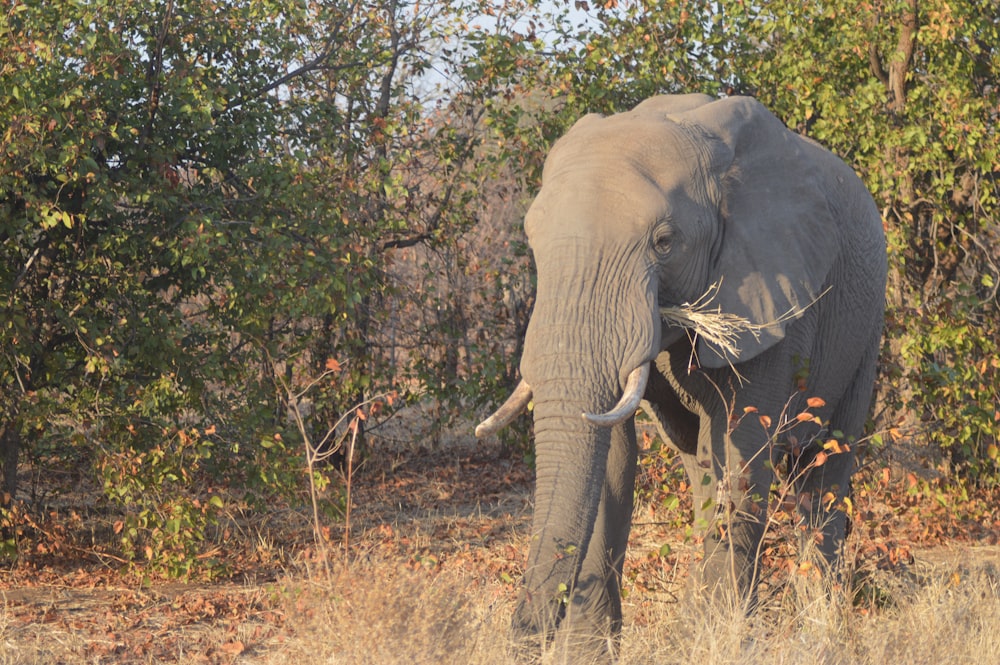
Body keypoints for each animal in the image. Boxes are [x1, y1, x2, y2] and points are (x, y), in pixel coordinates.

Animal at [480, 94, 888, 660]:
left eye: (664, 242)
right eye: (532, 240)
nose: (523, 639)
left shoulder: (772, 295)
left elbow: (742, 451)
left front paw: (725, 642)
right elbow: (613, 458)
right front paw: (590, 656)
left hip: (866, 323)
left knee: (823, 469)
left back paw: (820, 632)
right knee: (701, 468)